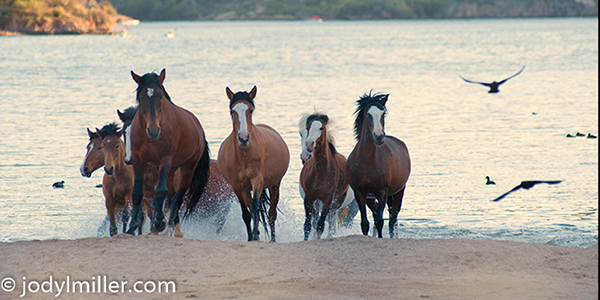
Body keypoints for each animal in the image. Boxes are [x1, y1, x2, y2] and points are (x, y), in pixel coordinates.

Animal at [126, 68, 211, 237]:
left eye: (160, 96)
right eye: (141, 97)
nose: (153, 131)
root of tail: (198, 126)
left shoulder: (164, 161)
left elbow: (160, 191)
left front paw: (159, 223)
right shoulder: (138, 161)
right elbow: (137, 193)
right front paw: (132, 227)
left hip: (186, 168)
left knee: (177, 197)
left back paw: (170, 226)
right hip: (172, 170)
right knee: (171, 196)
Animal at [217, 86, 290, 241]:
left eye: (250, 110)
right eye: (232, 111)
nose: (243, 138)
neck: (244, 155)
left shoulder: (257, 180)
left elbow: (256, 206)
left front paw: (256, 235)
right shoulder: (238, 186)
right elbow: (246, 213)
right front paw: (251, 237)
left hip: (275, 184)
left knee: (271, 214)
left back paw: (272, 239)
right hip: (247, 189)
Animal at [344, 92, 410, 238]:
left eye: (383, 114)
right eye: (367, 114)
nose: (379, 136)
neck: (367, 161)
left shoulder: (382, 193)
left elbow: (380, 221)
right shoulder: (360, 193)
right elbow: (365, 223)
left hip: (399, 192)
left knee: (392, 220)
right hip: (371, 198)